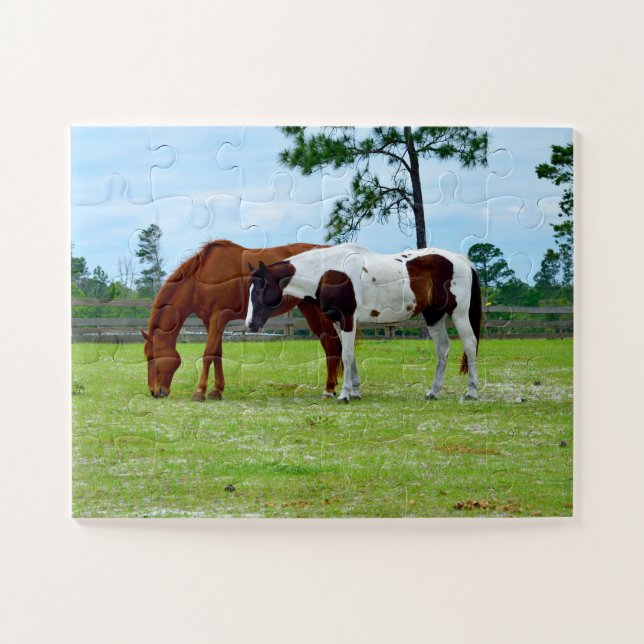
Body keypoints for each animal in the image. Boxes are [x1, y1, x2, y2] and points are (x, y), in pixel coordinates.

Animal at [141, 240, 342, 400]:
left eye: (151, 357)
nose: (153, 391)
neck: (201, 279)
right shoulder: (211, 321)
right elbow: (217, 353)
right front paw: (217, 390)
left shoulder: (219, 317)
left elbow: (208, 353)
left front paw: (200, 391)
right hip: (309, 309)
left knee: (331, 346)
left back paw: (329, 389)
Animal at [245, 243, 481, 402]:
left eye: (259, 290)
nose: (249, 325)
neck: (327, 272)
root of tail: (462, 260)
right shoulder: (339, 322)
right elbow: (348, 356)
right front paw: (355, 391)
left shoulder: (348, 319)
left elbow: (347, 355)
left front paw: (344, 394)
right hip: (434, 316)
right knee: (443, 348)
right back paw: (433, 392)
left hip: (459, 313)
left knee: (470, 344)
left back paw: (471, 391)